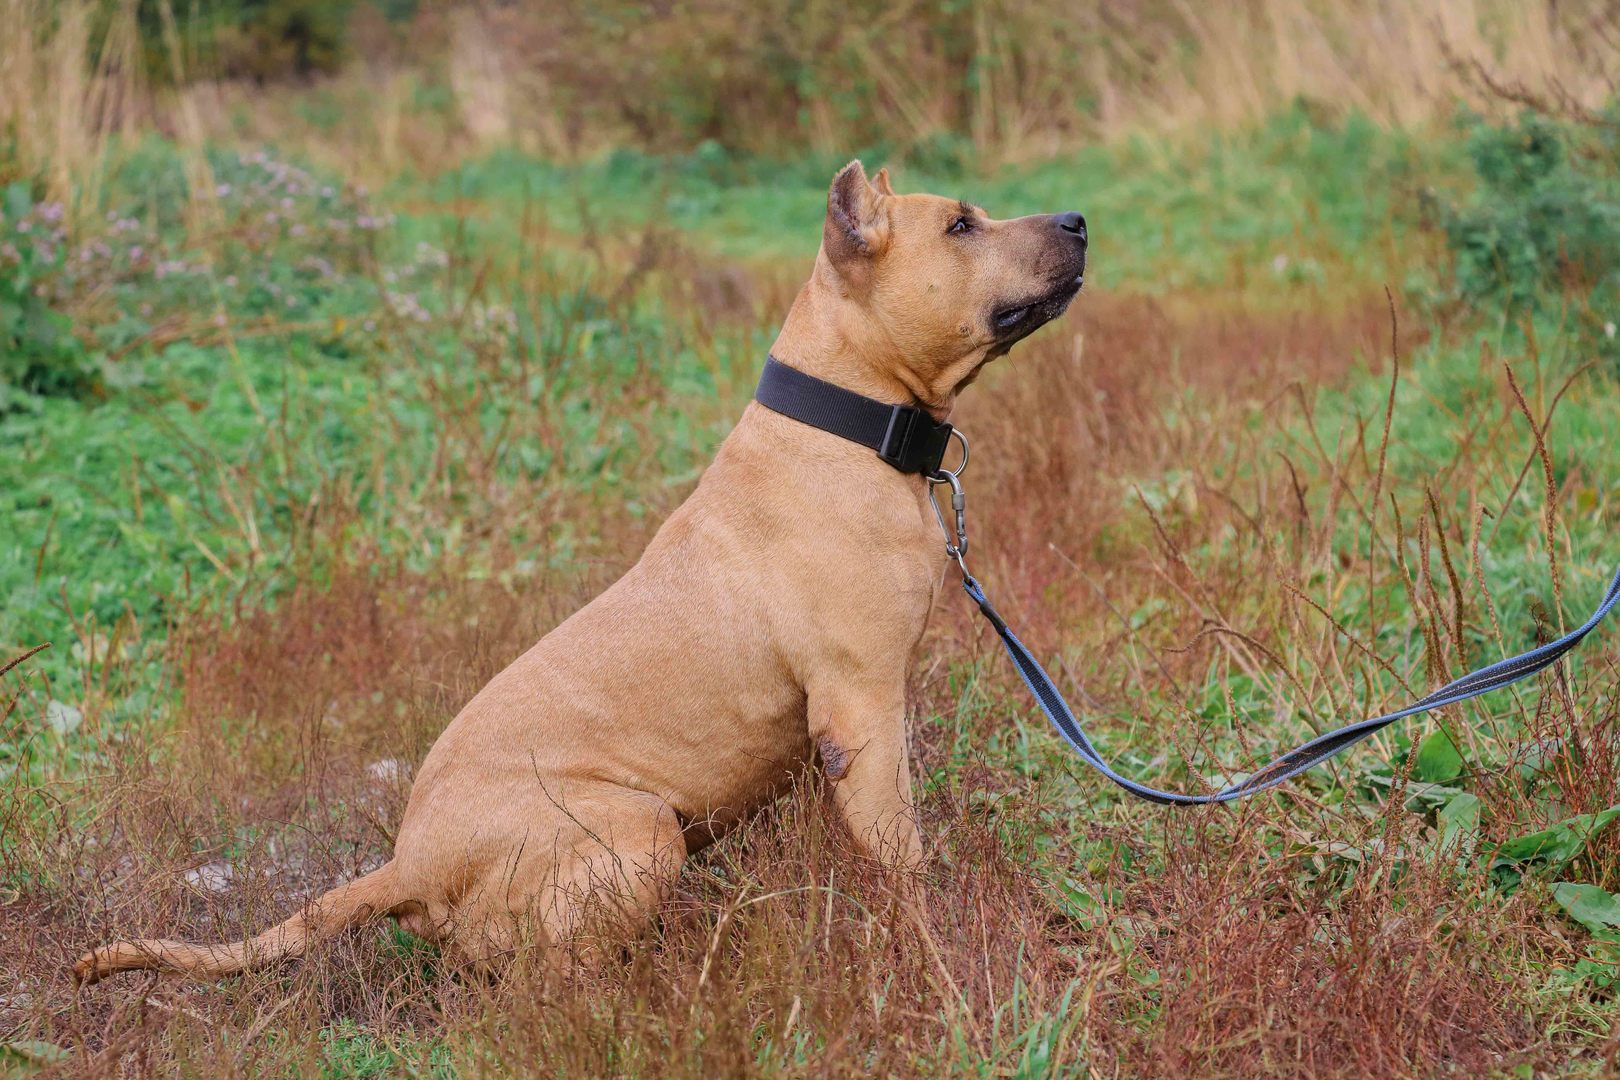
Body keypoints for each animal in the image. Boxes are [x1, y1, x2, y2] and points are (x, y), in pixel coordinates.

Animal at [75, 160, 1087, 982]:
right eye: (960, 226)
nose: (1078, 218)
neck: (849, 421)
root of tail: (408, 863)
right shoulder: (863, 710)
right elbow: (902, 855)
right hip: (641, 830)